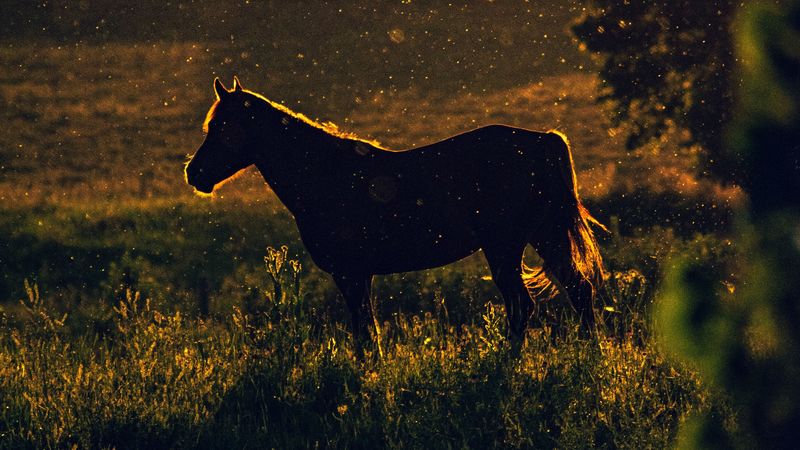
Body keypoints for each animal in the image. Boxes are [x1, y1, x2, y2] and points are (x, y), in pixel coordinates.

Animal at [185, 77, 606, 341]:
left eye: (222, 127)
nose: (194, 173)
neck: (326, 174)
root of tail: (543, 141)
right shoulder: (360, 275)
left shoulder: (351, 274)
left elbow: (364, 333)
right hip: (544, 237)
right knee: (579, 292)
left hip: (505, 247)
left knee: (523, 306)